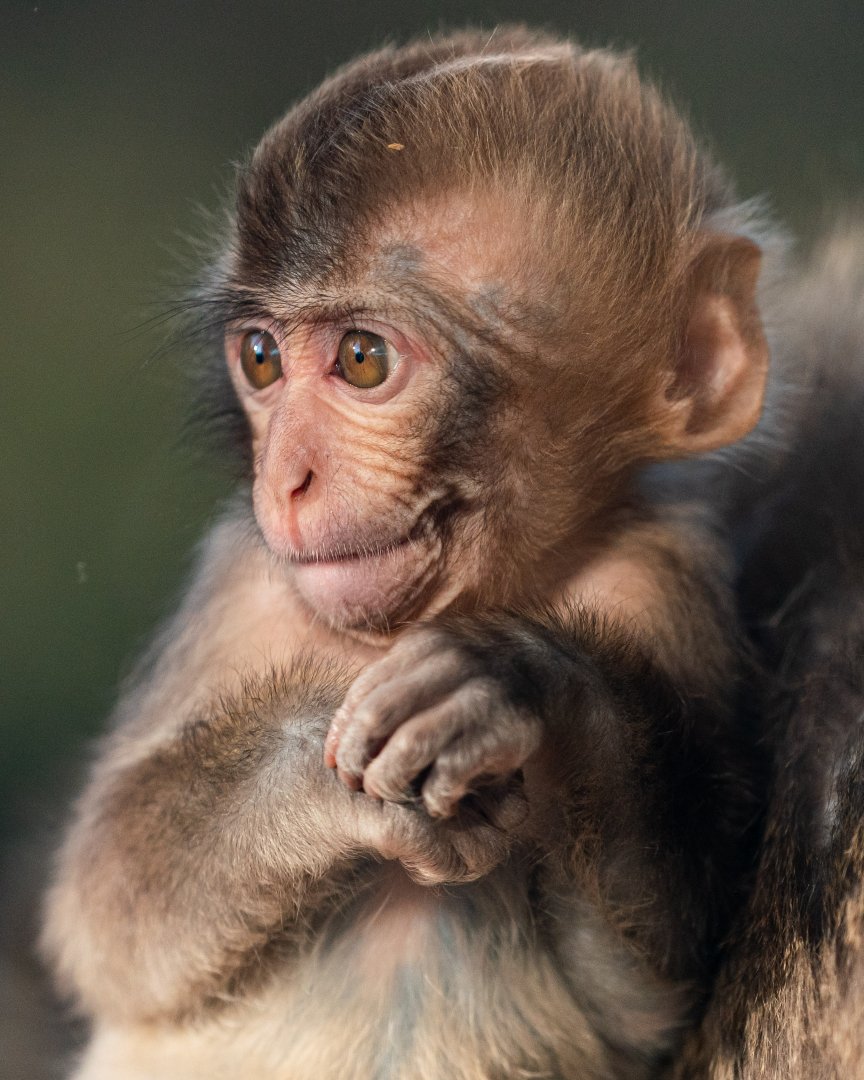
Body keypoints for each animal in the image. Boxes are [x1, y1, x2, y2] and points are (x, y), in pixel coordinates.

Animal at [42, 29, 774, 1080]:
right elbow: (108, 910)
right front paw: (307, 770)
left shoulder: (664, 579)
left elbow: (657, 982)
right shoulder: (241, 584)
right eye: (261, 358)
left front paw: (523, 690)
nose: (286, 478)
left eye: (362, 359)